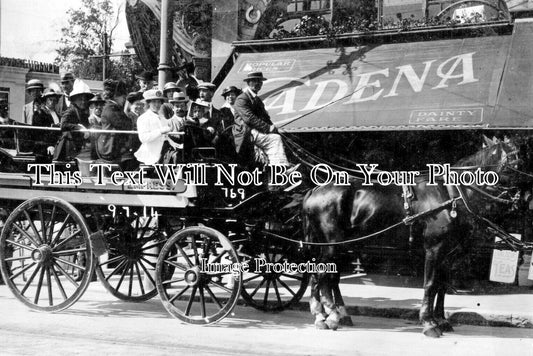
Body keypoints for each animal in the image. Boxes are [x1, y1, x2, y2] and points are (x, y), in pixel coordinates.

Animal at [302, 137, 520, 336]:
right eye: (515, 163)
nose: (519, 197)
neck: (450, 194)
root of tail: (315, 190)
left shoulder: (447, 254)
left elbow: (441, 285)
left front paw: (441, 320)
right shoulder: (434, 249)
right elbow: (430, 284)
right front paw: (429, 323)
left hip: (339, 245)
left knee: (325, 275)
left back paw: (329, 315)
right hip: (332, 244)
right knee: (321, 274)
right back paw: (329, 315)